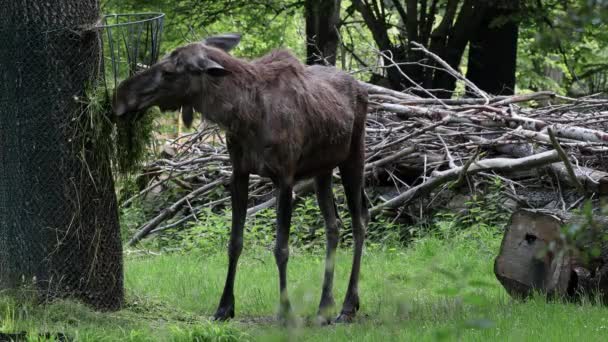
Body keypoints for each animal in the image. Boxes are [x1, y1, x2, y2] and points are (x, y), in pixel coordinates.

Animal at [114, 32, 370, 324]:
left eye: (169, 72)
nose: (120, 96)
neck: (244, 117)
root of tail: (363, 88)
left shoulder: (285, 177)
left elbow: (281, 248)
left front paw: (285, 311)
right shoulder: (239, 172)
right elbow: (234, 243)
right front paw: (224, 307)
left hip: (354, 156)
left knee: (359, 220)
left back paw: (348, 306)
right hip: (322, 170)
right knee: (333, 225)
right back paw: (324, 306)